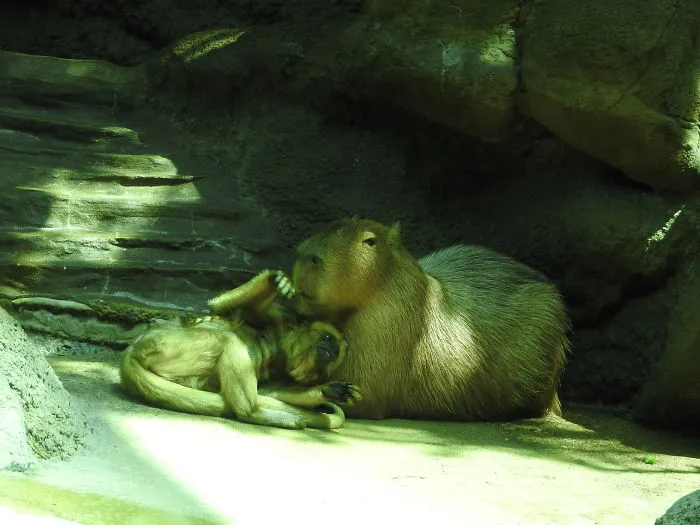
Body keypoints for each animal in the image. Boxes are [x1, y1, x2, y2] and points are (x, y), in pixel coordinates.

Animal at [120, 270, 361, 430]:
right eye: (328, 338)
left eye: (336, 351)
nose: (331, 348)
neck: (284, 350)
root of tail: (131, 352)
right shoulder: (279, 318)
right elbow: (220, 306)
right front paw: (276, 280)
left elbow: (268, 392)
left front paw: (330, 390)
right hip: (166, 345)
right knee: (229, 339)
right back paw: (251, 413)